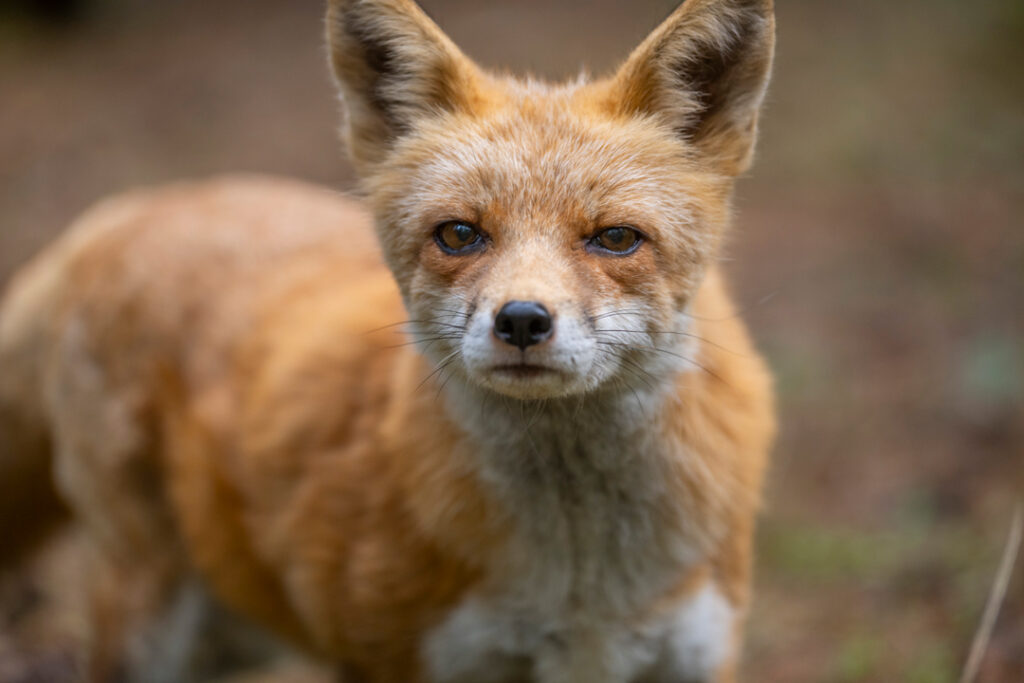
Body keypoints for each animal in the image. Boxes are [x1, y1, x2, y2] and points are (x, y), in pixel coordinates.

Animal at [0, 0, 776, 681]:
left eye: (615, 238)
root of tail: (121, 211)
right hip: (152, 625)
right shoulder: (388, 659)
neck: (583, 585)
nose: (522, 321)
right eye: (459, 234)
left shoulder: (696, 655)